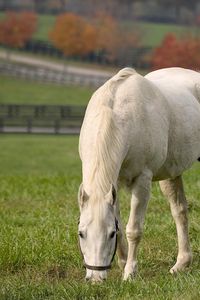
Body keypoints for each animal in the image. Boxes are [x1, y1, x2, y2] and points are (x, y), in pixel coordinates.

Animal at [77, 67, 200, 282]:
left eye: (109, 234)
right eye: (81, 233)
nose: (95, 279)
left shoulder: (142, 181)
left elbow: (133, 229)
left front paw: (129, 273)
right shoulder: (114, 183)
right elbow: (120, 222)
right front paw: (122, 263)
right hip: (171, 174)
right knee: (180, 212)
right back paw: (181, 264)